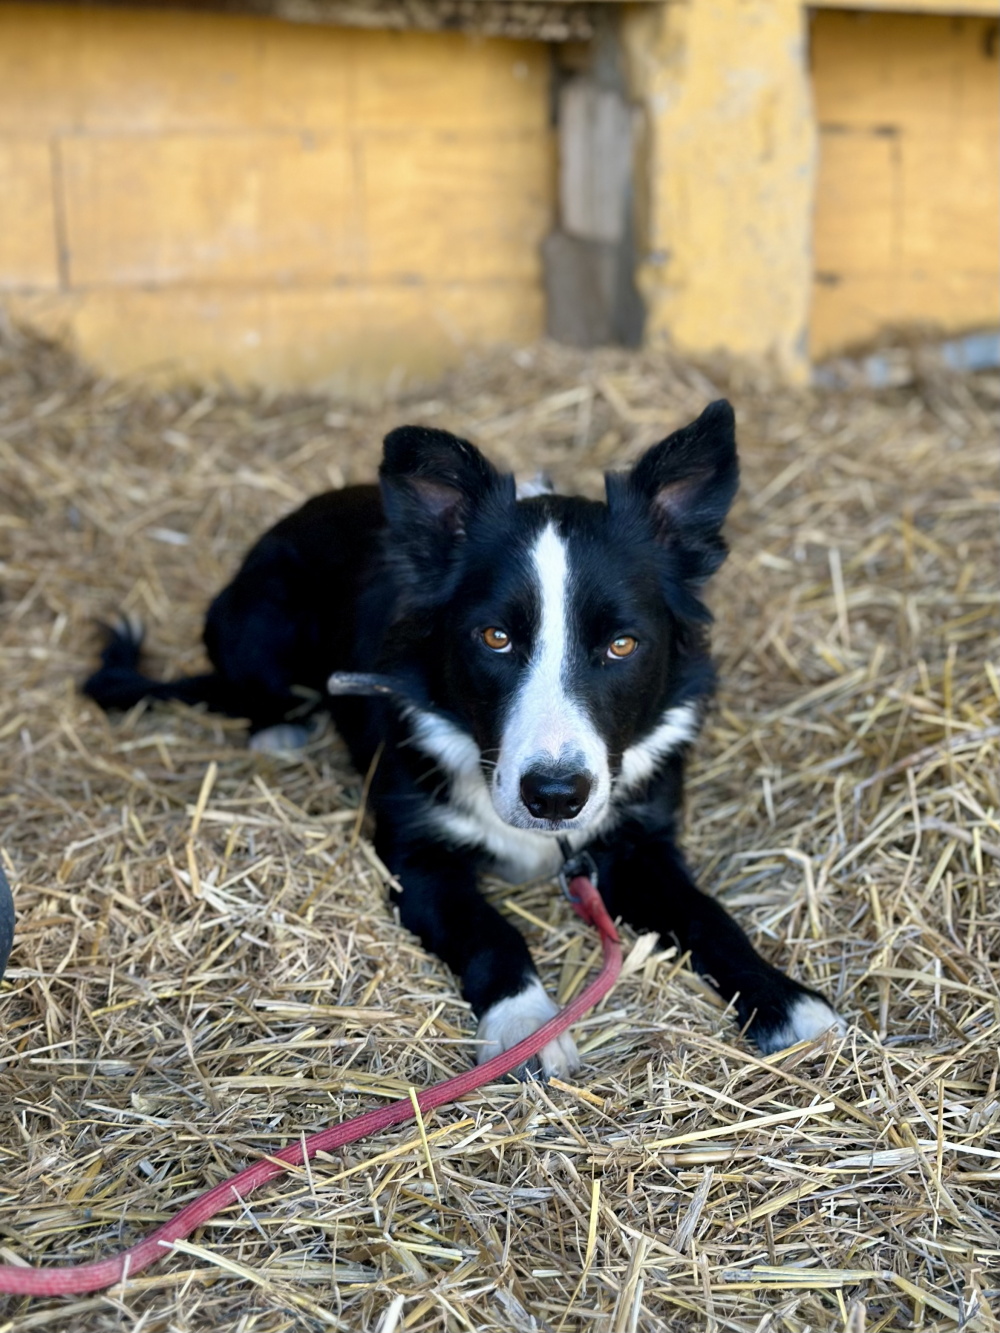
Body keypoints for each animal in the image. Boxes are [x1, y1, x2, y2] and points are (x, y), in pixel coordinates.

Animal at [84, 401, 843, 1073]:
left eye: (622, 644)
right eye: (496, 637)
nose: (556, 797)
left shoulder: (639, 843)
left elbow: (708, 915)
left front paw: (787, 1002)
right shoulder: (416, 860)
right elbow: (491, 932)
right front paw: (527, 1027)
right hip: (259, 619)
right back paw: (280, 730)